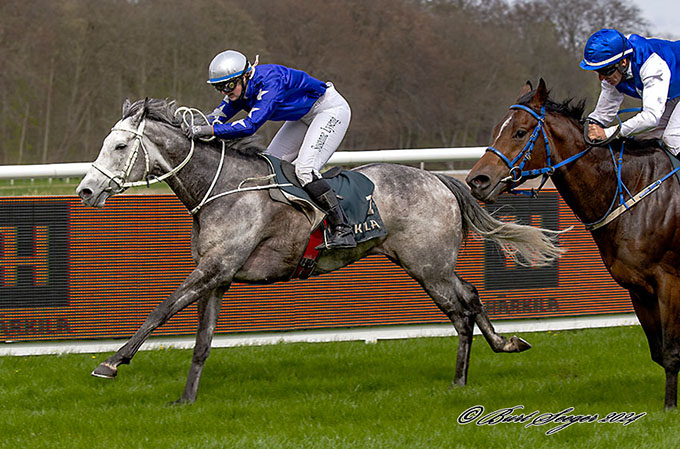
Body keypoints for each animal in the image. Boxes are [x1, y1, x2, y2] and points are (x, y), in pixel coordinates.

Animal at [75, 99, 564, 402]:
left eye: (121, 145)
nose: (85, 190)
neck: (225, 187)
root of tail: (441, 179)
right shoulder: (219, 277)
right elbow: (201, 343)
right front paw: (186, 400)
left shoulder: (213, 269)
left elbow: (160, 310)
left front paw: (111, 364)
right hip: (428, 263)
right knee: (471, 297)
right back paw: (505, 344)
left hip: (428, 266)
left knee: (460, 311)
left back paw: (461, 382)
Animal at [470, 79, 680, 408]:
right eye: (496, 130)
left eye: (520, 132)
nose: (477, 180)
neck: (630, 188)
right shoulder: (638, 288)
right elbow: (659, 351)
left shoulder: (668, 280)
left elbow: (671, 352)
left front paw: (670, 407)